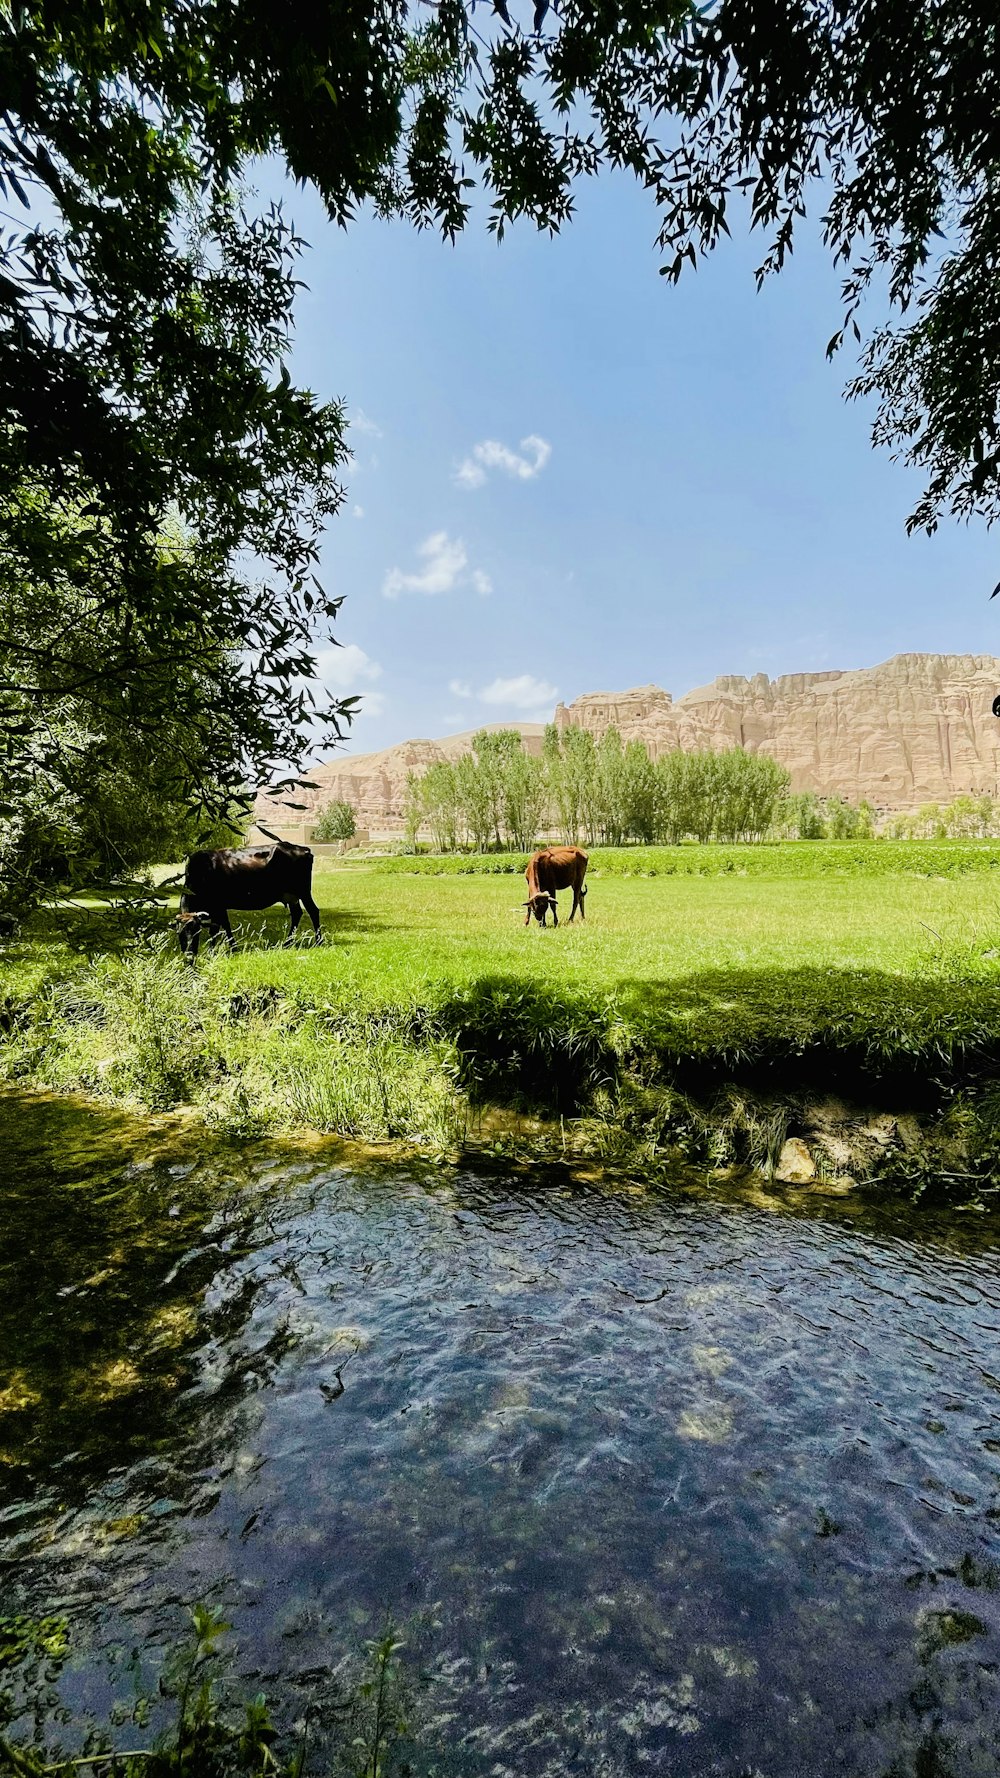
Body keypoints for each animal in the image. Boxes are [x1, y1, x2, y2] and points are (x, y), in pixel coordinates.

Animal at [176, 828, 318, 960]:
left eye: (196, 933)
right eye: (180, 935)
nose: (189, 955)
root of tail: (304, 849)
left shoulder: (218, 906)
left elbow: (216, 929)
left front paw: (214, 952)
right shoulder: (218, 908)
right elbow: (225, 926)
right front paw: (232, 948)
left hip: (304, 891)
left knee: (313, 910)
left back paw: (318, 941)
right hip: (291, 896)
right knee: (297, 913)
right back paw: (288, 943)